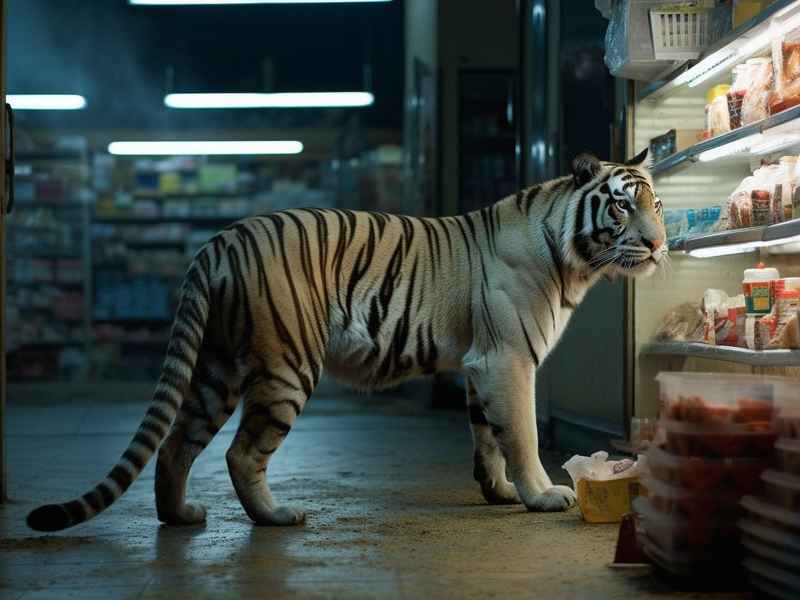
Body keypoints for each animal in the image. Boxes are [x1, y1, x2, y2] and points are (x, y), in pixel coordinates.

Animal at [26, 149, 666, 532]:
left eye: (656, 203)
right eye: (620, 205)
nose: (659, 245)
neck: (574, 259)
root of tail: (219, 242)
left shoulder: (481, 365)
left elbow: (486, 436)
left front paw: (499, 491)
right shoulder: (508, 359)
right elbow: (523, 433)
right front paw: (541, 494)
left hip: (216, 368)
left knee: (176, 444)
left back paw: (181, 515)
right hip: (286, 367)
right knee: (240, 453)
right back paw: (277, 516)